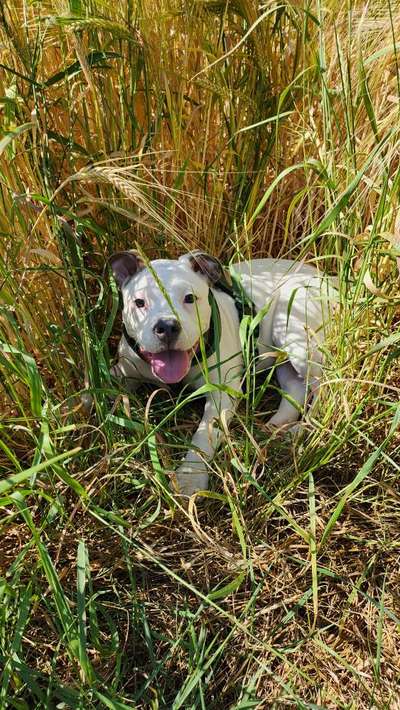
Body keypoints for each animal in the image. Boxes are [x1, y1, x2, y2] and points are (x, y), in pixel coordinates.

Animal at [108, 253, 332, 498]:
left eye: (190, 298)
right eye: (139, 303)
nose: (167, 326)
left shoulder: (222, 394)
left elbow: (203, 435)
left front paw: (190, 476)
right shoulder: (122, 372)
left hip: (295, 331)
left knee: (325, 389)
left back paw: (303, 429)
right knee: (296, 388)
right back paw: (276, 428)